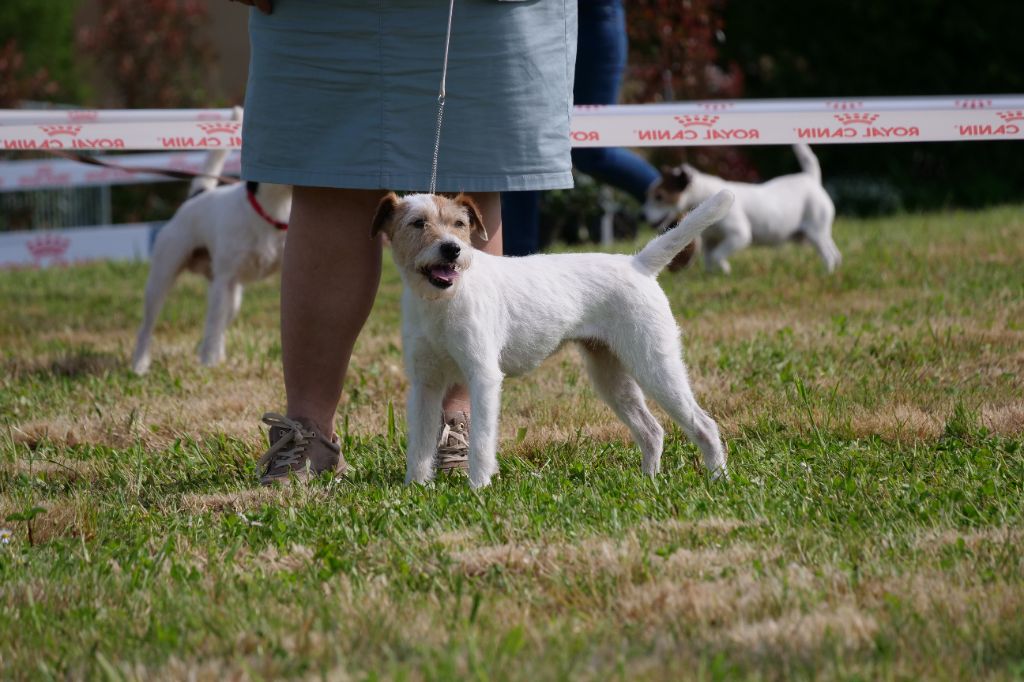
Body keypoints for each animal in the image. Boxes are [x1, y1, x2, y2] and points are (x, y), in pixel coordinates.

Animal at [131, 146, 292, 374]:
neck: (271, 212)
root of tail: (198, 194)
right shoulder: (223, 280)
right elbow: (214, 323)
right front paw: (209, 361)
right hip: (161, 280)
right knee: (147, 326)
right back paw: (140, 363)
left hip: (233, 298)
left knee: (220, 323)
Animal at [370, 188, 737, 485]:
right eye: (418, 223)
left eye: (460, 223)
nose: (452, 250)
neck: (441, 301)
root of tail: (638, 264)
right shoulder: (425, 384)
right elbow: (419, 445)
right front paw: (416, 488)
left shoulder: (483, 377)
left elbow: (482, 442)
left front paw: (478, 487)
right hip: (611, 376)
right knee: (652, 432)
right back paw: (649, 481)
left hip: (655, 365)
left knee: (704, 425)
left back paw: (718, 478)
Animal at [638, 144, 839, 274]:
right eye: (648, 194)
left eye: (659, 197)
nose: (641, 216)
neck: (704, 194)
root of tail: (810, 179)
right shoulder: (711, 241)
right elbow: (709, 258)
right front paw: (711, 276)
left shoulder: (739, 235)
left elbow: (718, 255)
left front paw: (725, 270)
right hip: (820, 234)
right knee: (836, 253)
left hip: (815, 232)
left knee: (828, 255)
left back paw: (826, 273)